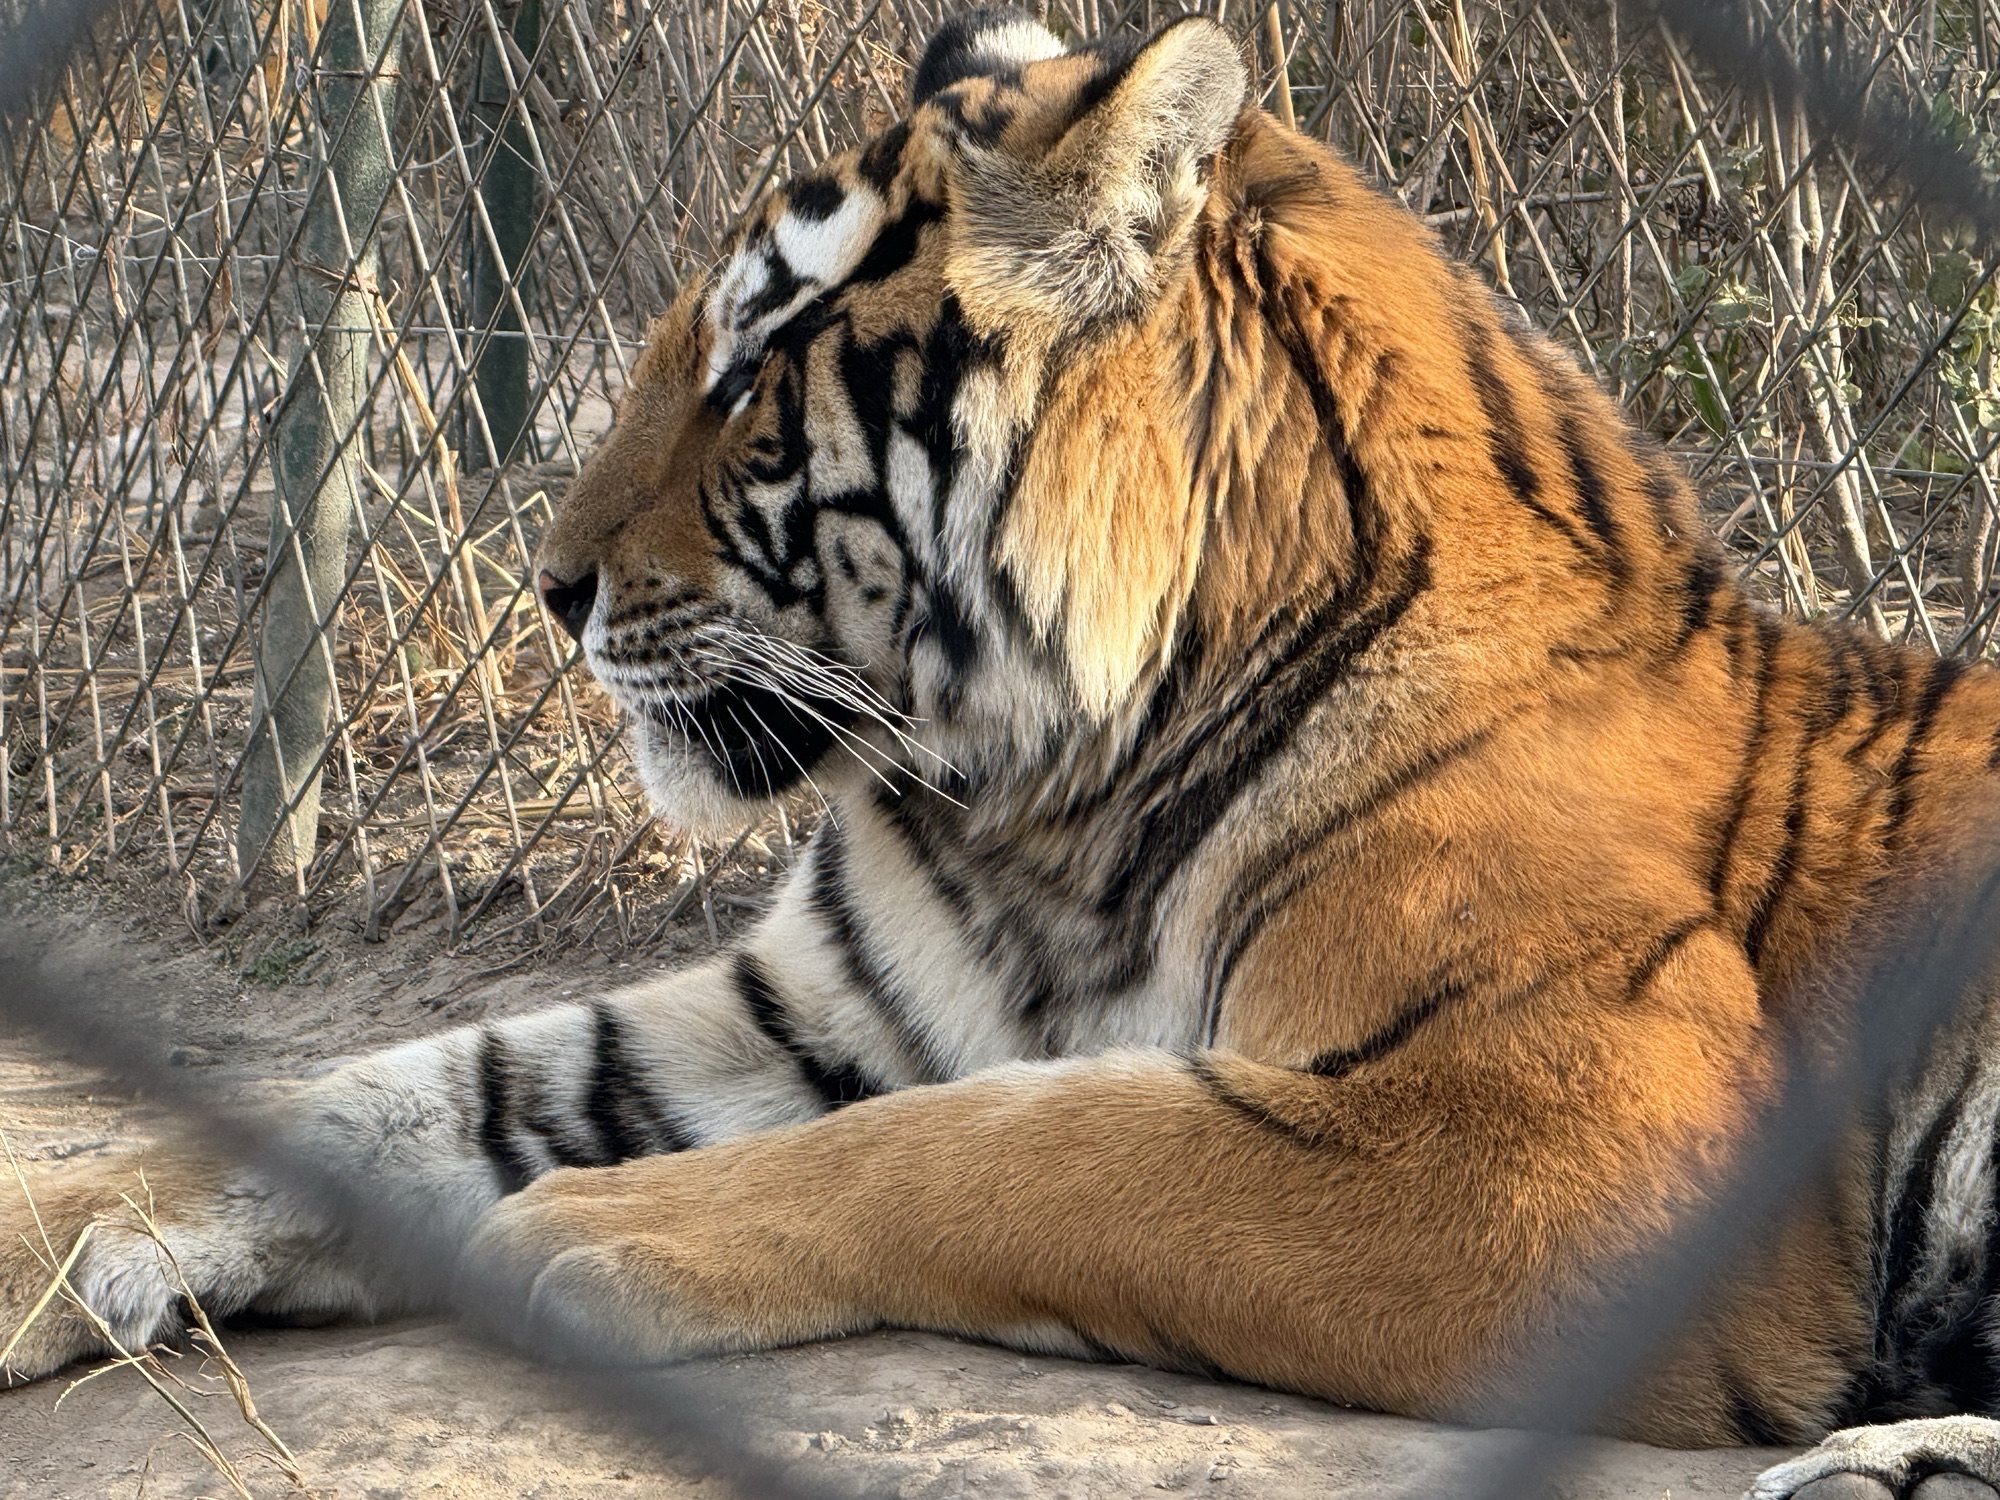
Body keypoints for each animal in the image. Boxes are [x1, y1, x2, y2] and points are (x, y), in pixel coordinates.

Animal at [6, 10, 2000, 1497]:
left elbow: (1033, 1146)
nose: (550, 587)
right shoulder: (808, 1013)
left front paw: (593, 1235)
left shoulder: (1588, 1136)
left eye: (751, 369)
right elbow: (375, 1091)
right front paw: (49, 1234)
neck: (1033, 796)